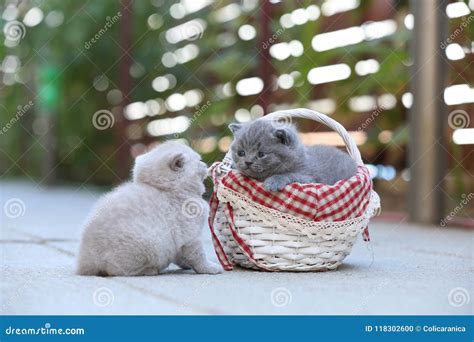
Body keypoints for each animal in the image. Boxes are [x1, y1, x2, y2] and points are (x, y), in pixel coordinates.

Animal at [75, 140, 222, 276]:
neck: (169, 190)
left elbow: (181, 256)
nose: (205, 165)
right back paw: (150, 270)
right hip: (150, 243)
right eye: (199, 160)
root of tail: (86, 262)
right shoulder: (190, 237)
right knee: (116, 270)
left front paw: (186, 265)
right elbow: (198, 257)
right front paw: (210, 268)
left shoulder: (179, 243)